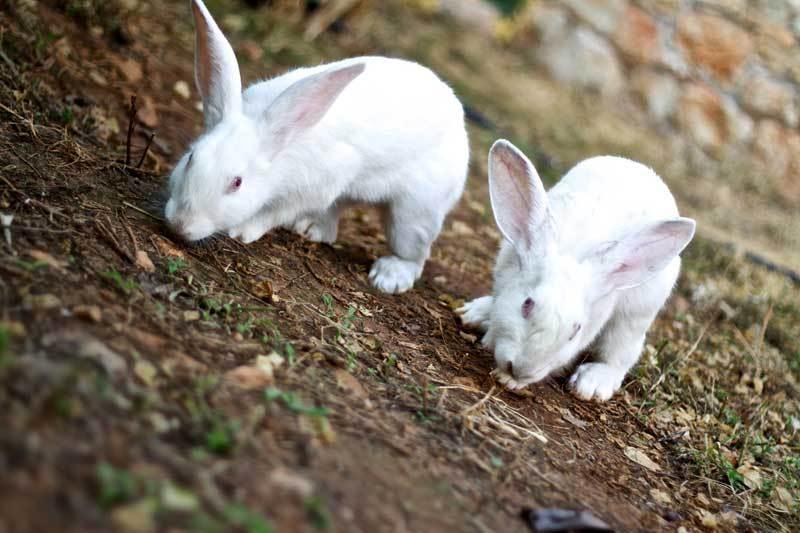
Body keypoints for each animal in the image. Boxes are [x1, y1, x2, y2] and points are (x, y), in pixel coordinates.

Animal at [166, 0, 472, 296]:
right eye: (191, 158)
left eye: (237, 183)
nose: (180, 224)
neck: (281, 150)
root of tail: (457, 114)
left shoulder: (311, 189)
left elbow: (272, 214)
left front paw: (241, 232)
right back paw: (311, 229)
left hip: (415, 212)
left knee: (413, 252)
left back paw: (389, 278)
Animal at [460, 139, 696, 402]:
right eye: (526, 305)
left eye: (576, 331)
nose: (522, 370)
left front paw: (510, 380)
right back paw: (475, 313)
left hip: (637, 314)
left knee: (620, 353)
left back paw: (592, 384)